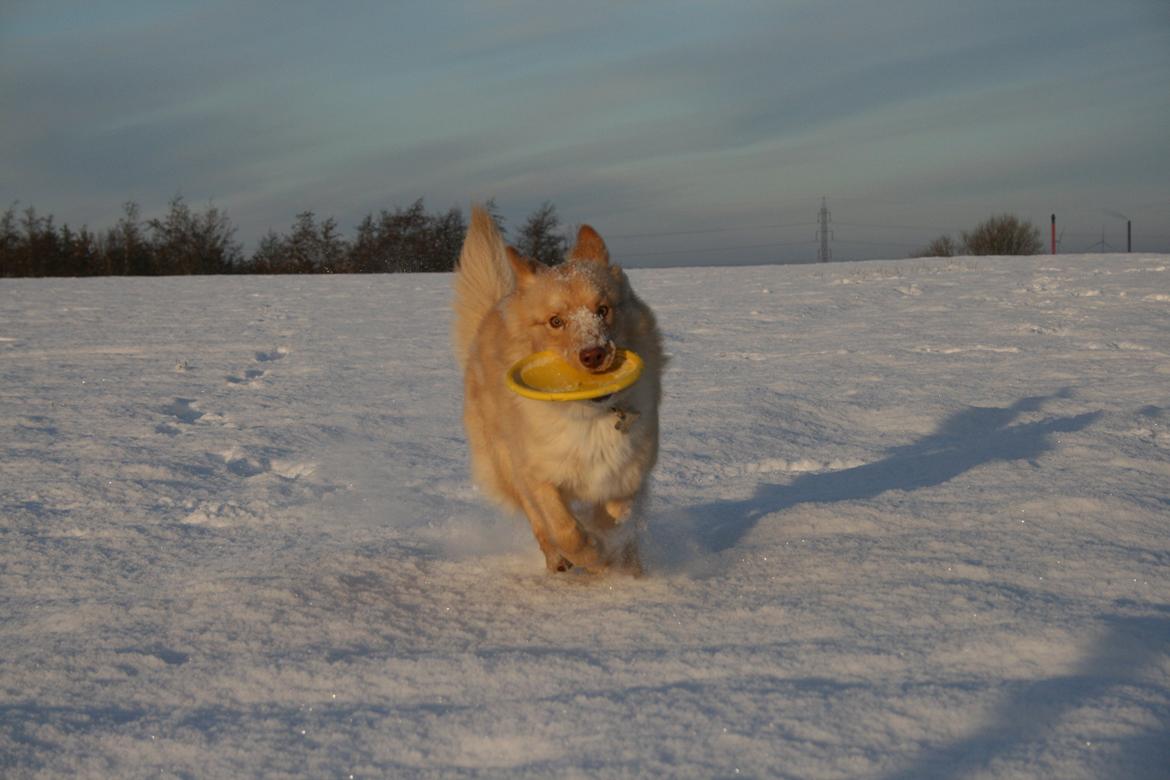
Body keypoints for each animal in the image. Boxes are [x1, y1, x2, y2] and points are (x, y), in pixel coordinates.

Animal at [451, 206, 664, 573]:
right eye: (555, 321)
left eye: (602, 310)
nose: (594, 354)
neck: (588, 416)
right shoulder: (537, 475)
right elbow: (565, 529)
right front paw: (593, 556)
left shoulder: (631, 471)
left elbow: (616, 514)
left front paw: (612, 547)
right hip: (504, 462)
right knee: (538, 523)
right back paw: (559, 562)